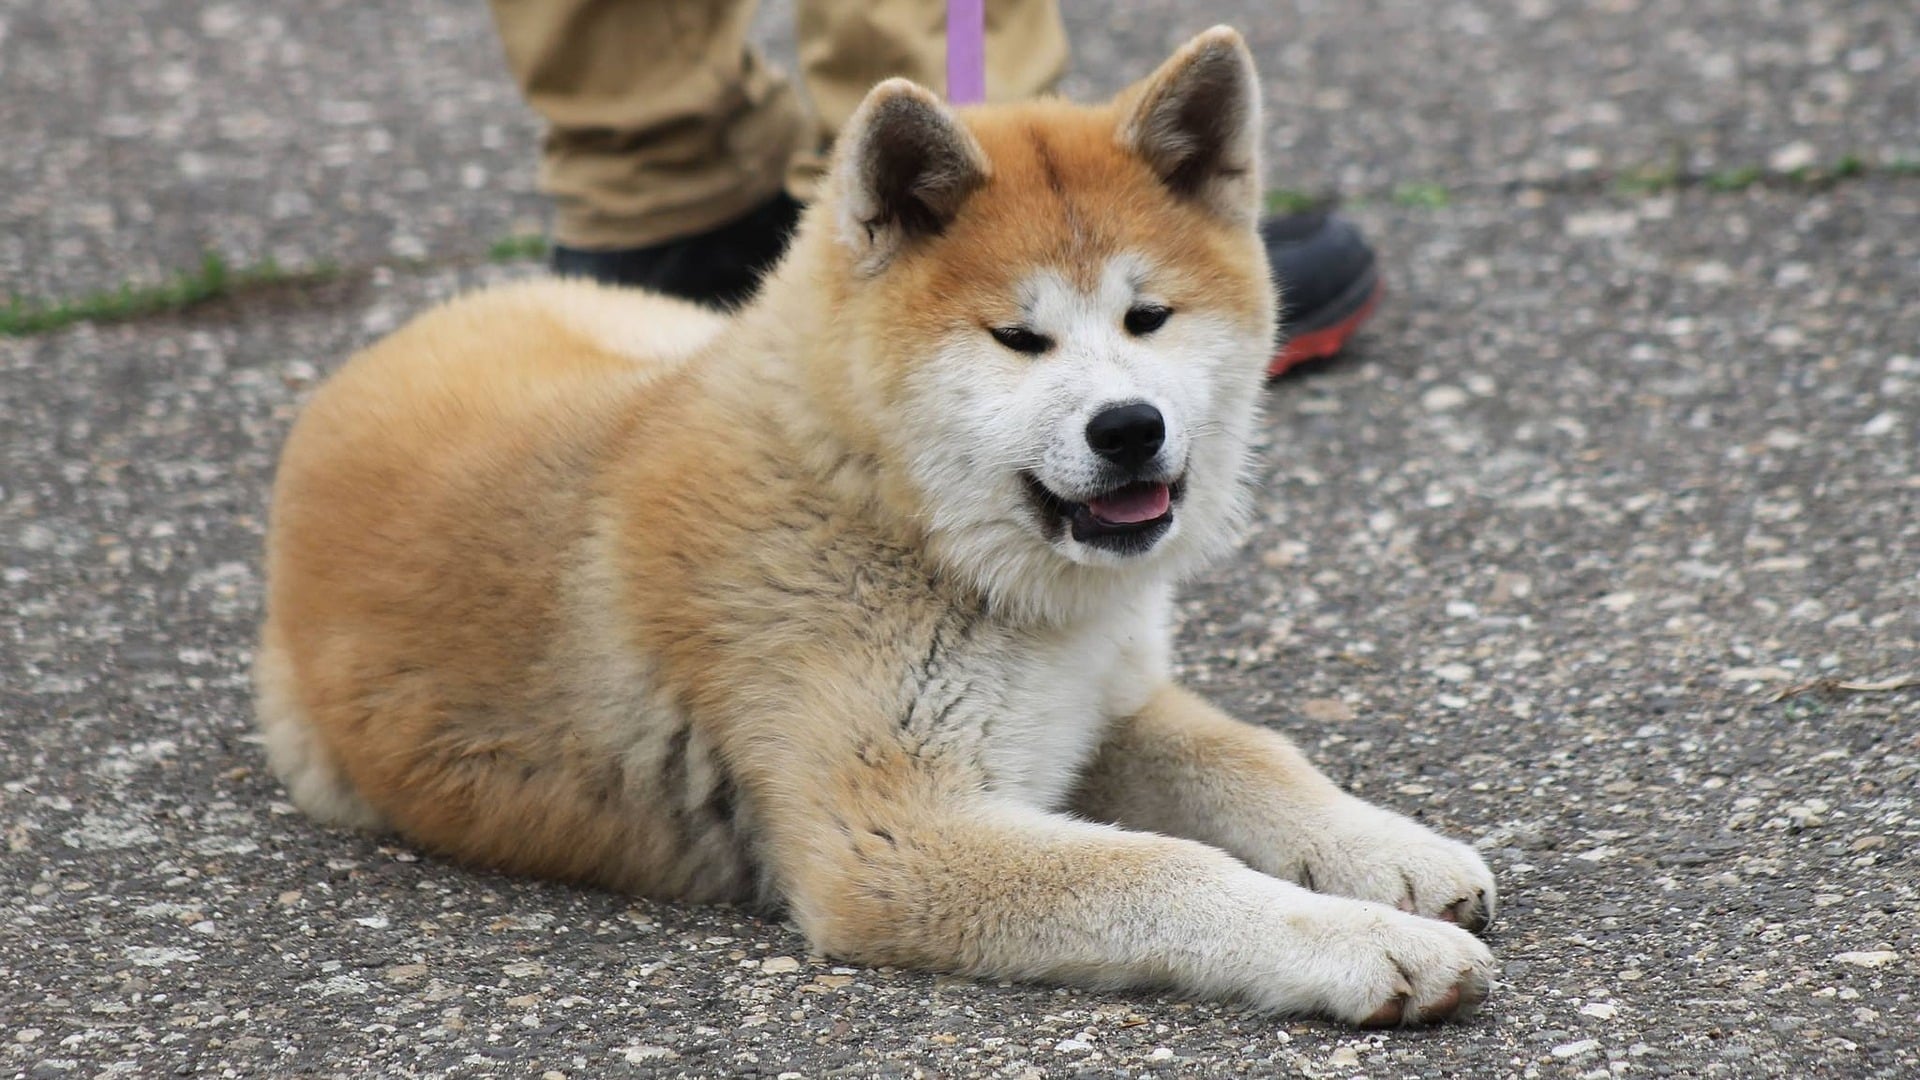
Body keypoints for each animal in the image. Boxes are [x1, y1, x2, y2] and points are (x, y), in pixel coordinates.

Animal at [251, 23, 1497, 1014]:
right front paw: (1365, 945)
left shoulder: (1104, 702)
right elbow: (1166, 868)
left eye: (1150, 317)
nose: (1129, 428)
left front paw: (1387, 851)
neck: (897, 520)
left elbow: (1253, 758)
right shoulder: (894, 842)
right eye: (1018, 339)